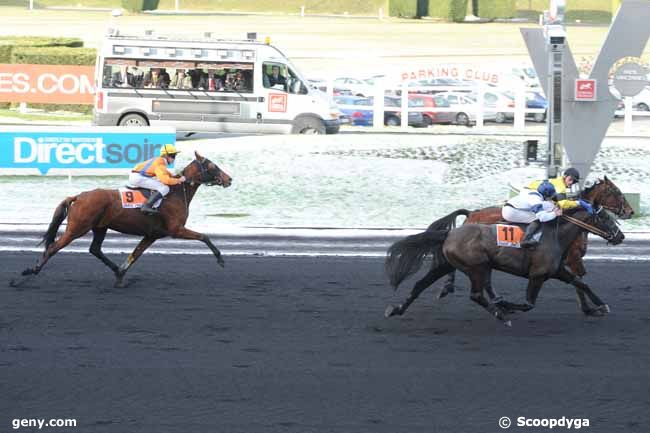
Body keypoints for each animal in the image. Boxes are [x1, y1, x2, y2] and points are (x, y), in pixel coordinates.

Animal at [12, 150, 232, 288]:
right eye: (212, 165)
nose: (229, 179)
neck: (176, 193)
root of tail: (78, 196)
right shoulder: (176, 229)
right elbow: (204, 236)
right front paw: (220, 259)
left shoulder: (152, 235)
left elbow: (135, 255)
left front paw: (120, 275)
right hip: (77, 228)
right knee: (53, 248)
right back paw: (27, 273)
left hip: (100, 227)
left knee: (95, 249)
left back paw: (115, 269)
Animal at [384, 206, 624, 324]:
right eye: (606, 219)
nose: (620, 236)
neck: (555, 236)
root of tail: (449, 233)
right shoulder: (538, 275)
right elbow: (528, 304)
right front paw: (506, 305)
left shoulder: (557, 271)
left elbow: (581, 283)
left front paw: (600, 306)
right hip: (477, 267)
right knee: (477, 295)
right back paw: (501, 314)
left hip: (447, 265)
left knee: (419, 285)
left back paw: (395, 309)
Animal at [438, 176, 632, 314]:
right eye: (616, 191)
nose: (630, 212)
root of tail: (472, 213)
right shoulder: (572, 261)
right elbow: (579, 282)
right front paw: (590, 308)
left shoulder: (563, 266)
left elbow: (579, 283)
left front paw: (594, 307)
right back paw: (450, 287)